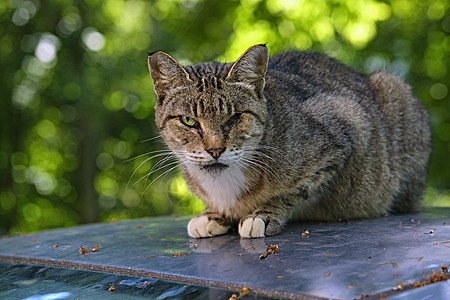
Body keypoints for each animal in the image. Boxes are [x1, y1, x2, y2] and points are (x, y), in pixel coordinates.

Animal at [146, 43, 430, 238]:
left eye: (235, 117)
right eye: (189, 121)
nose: (215, 150)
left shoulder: (347, 128)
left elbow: (293, 192)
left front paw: (262, 215)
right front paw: (213, 215)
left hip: (393, 91)